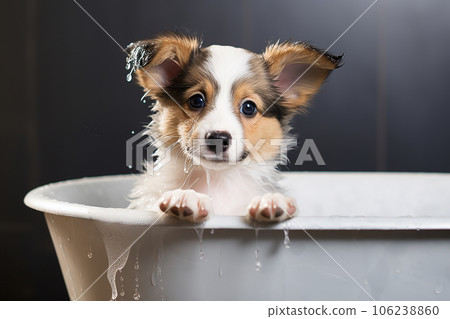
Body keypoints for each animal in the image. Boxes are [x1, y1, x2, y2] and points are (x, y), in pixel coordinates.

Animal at [125, 31, 340, 222]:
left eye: (249, 107)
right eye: (196, 101)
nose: (218, 139)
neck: (217, 179)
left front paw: (271, 201)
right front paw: (187, 196)